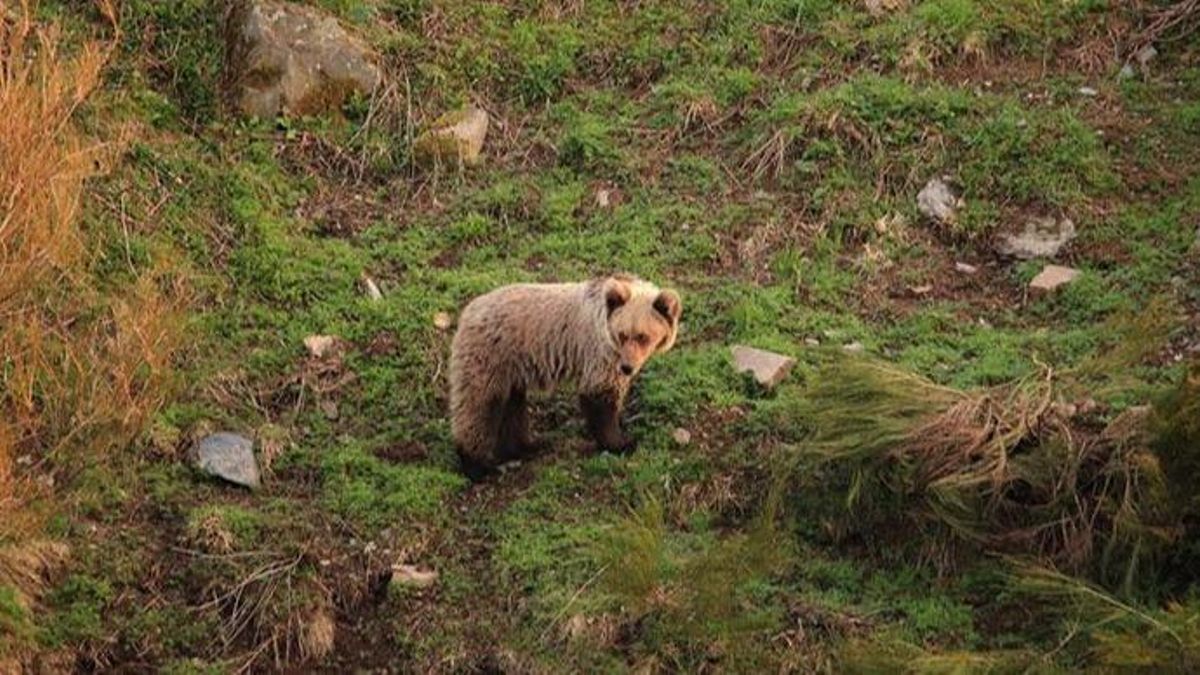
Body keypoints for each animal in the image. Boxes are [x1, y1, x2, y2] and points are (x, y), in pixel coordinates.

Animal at [448, 273, 682, 479]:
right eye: (623, 334)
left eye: (643, 336)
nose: (627, 367)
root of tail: (466, 314)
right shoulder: (600, 352)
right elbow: (600, 396)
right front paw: (622, 442)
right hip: (490, 356)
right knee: (479, 407)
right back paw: (477, 466)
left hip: (511, 368)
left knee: (511, 405)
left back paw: (528, 446)